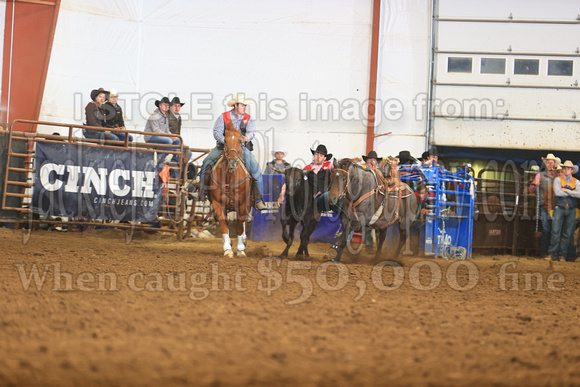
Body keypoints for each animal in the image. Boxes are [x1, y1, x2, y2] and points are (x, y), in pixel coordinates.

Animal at [207, 123, 253, 258]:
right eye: (225, 140)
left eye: (239, 140)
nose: (232, 160)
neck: (230, 178)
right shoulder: (217, 204)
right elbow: (224, 226)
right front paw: (227, 249)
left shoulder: (242, 204)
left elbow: (239, 226)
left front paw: (241, 249)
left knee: (244, 222)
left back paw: (244, 241)